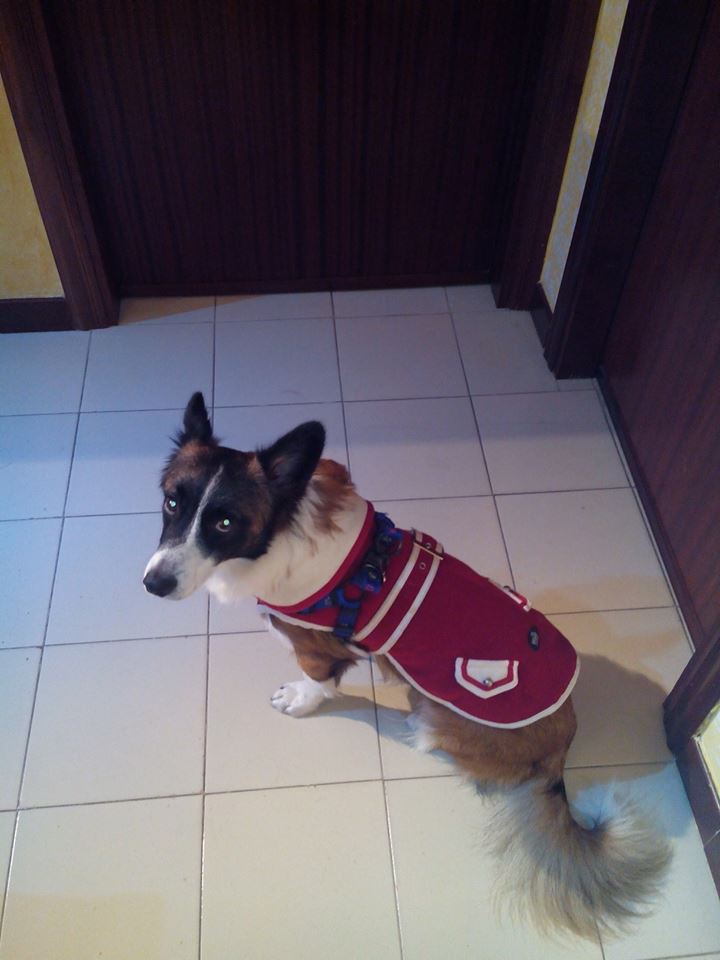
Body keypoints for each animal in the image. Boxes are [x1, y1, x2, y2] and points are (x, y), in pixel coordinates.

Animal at [144, 392, 670, 938]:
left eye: (225, 522)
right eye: (172, 502)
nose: (153, 585)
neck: (278, 535)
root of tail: (562, 744)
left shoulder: (317, 649)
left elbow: (316, 681)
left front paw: (300, 699)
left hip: (440, 711)